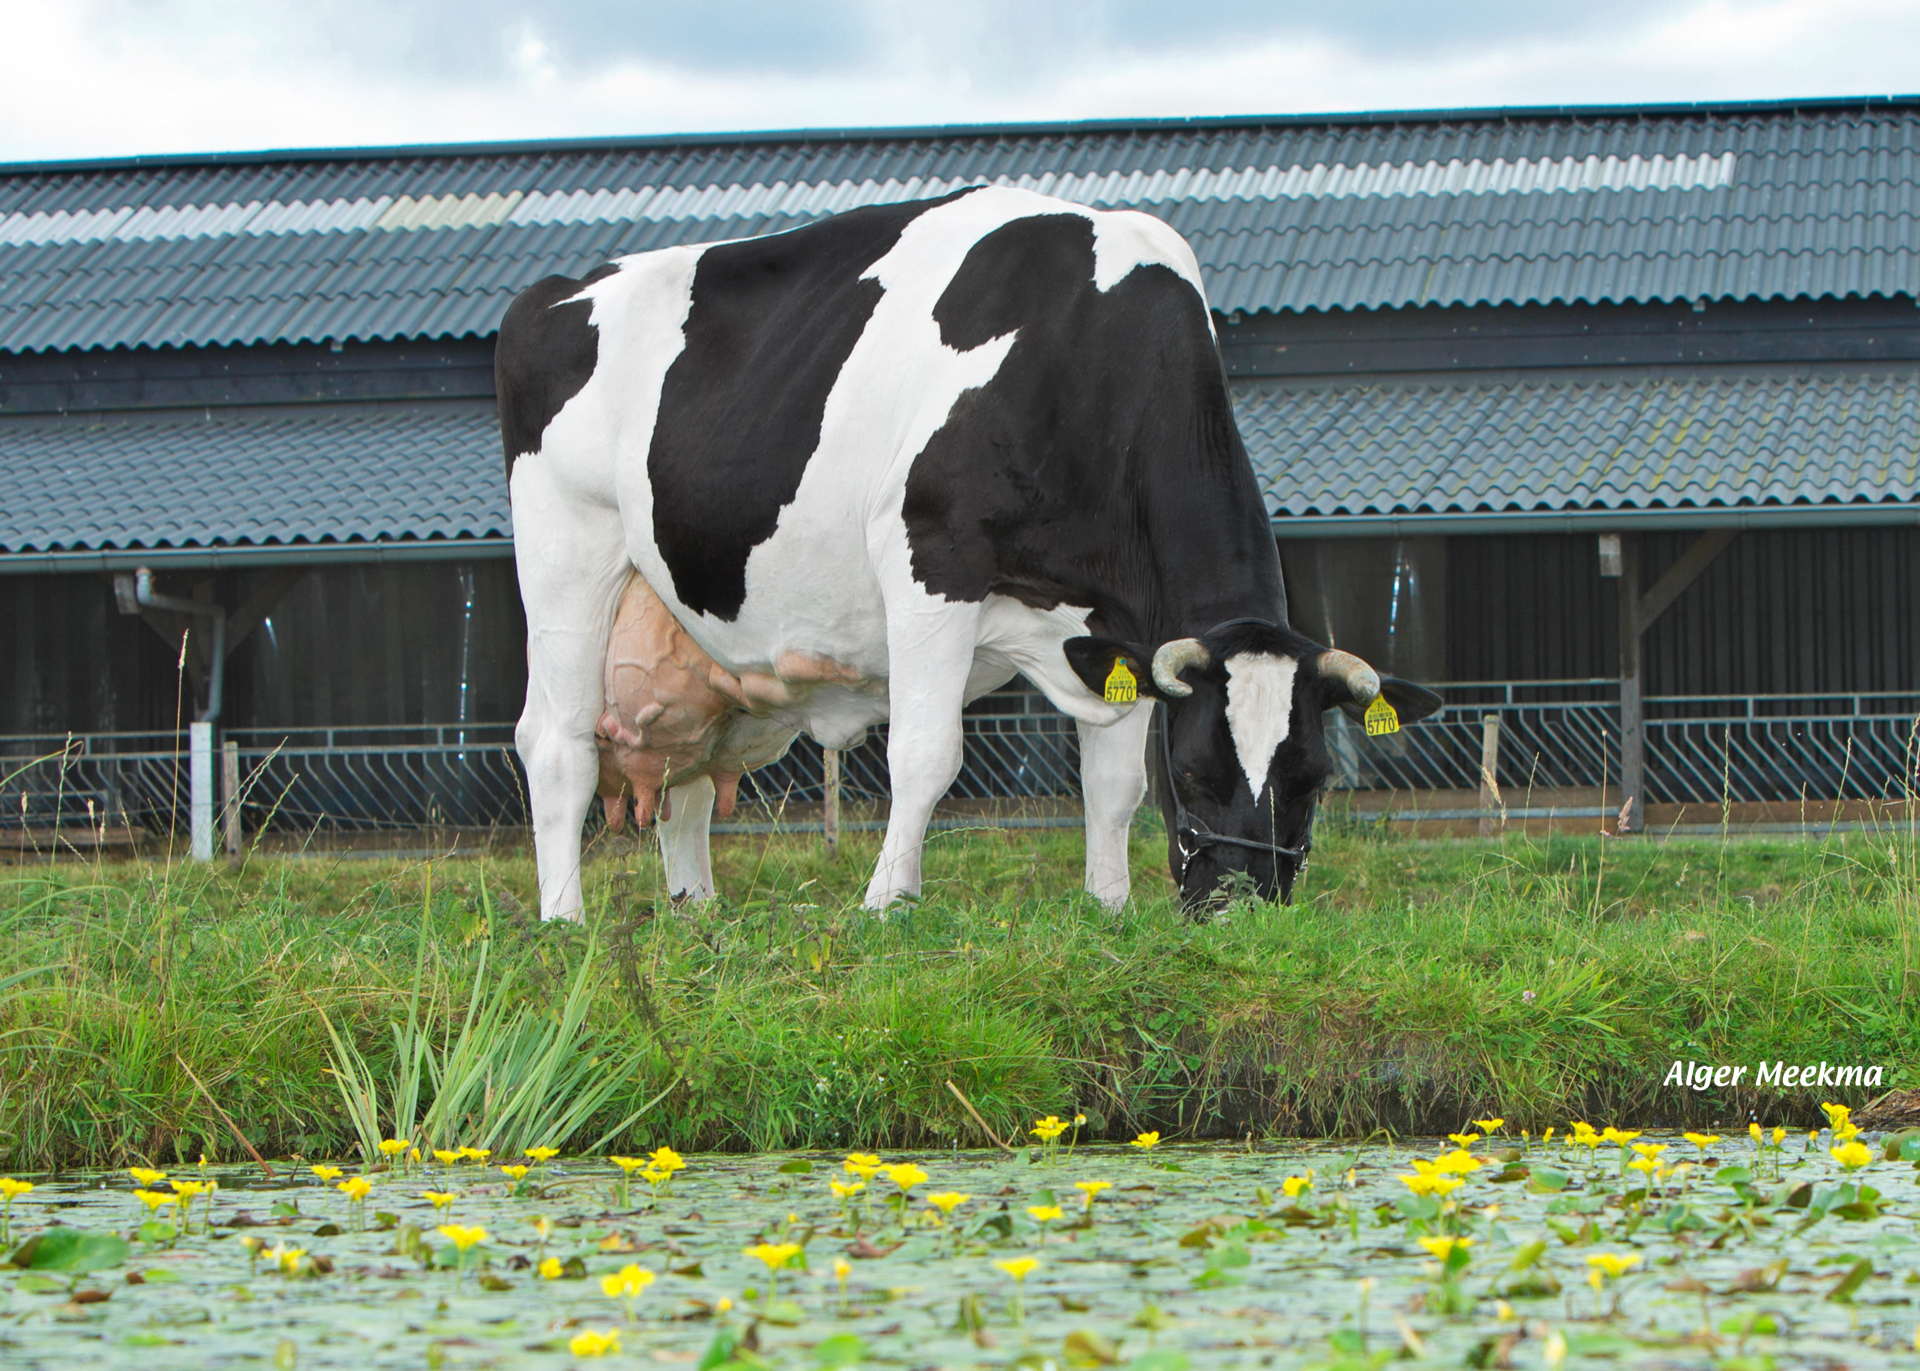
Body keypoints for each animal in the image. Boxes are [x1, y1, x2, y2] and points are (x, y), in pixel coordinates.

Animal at [495, 184, 1443, 917]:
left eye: (1313, 777)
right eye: (1198, 767)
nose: (1241, 911)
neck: (1086, 360)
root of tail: (562, 287)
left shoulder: (1126, 625)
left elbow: (1112, 784)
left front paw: (1109, 905)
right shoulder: (931, 558)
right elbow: (926, 752)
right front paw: (885, 903)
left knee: (682, 791)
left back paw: (697, 915)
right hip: (566, 545)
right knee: (555, 743)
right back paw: (564, 919)